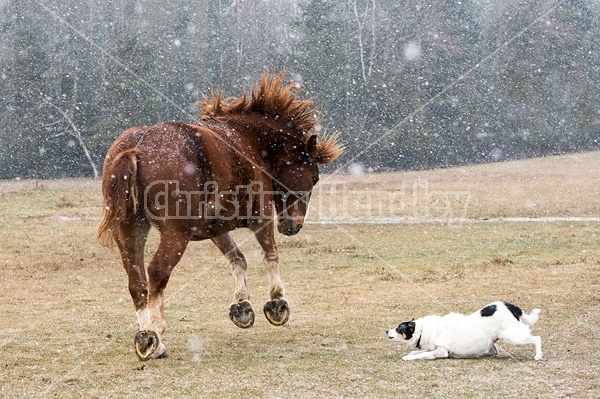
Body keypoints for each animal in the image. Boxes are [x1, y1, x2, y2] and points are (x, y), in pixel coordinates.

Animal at [97, 72, 342, 362]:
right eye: (314, 178)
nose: (294, 226)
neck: (249, 142)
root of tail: (138, 144)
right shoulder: (262, 219)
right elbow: (270, 255)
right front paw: (277, 303)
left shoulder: (215, 229)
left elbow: (237, 259)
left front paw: (242, 306)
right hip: (175, 235)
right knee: (156, 272)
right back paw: (153, 336)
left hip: (130, 231)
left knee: (137, 282)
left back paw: (148, 337)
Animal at [386, 302, 540, 360]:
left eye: (399, 327)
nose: (387, 331)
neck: (423, 329)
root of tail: (511, 306)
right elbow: (419, 352)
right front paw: (412, 353)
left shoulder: (442, 351)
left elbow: (421, 354)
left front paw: (408, 357)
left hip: (511, 336)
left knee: (537, 338)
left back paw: (538, 355)